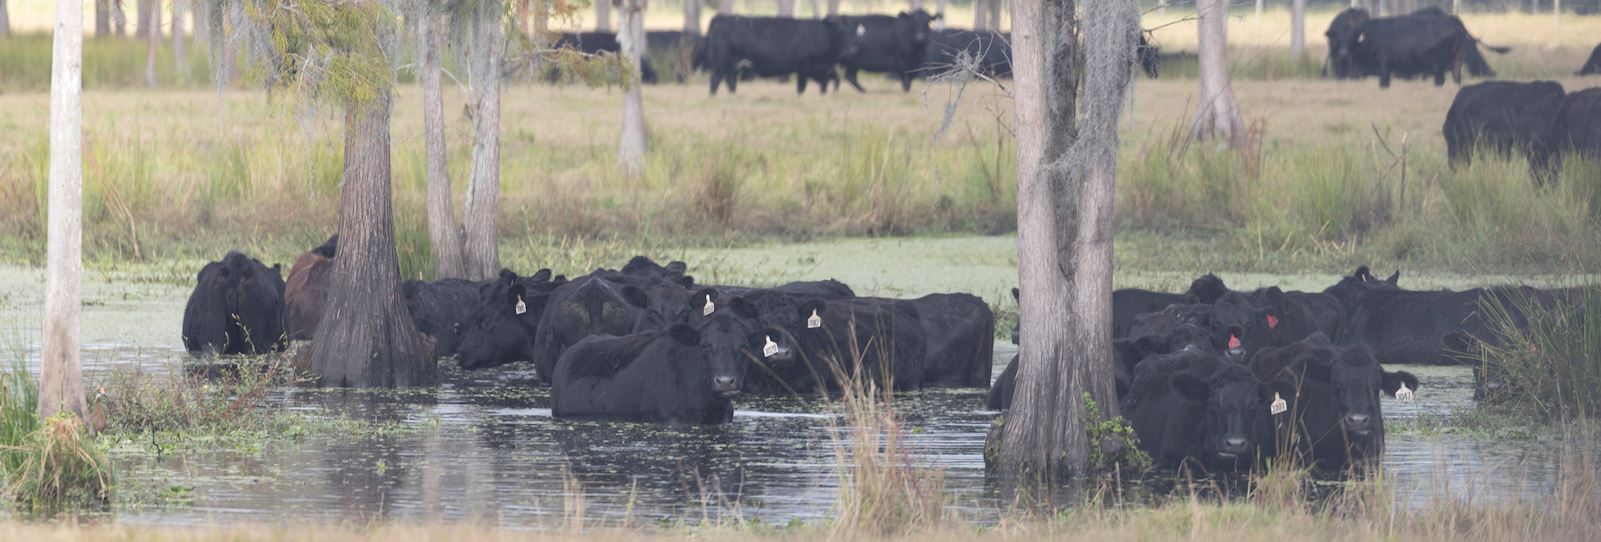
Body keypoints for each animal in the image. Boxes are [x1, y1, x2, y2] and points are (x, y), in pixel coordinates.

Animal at [702, 15, 848, 95]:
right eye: (839, 30)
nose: (848, 50)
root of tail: (720, 19)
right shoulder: (805, 68)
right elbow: (801, 87)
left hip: (733, 65)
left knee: (730, 81)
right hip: (721, 63)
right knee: (715, 79)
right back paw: (713, 97)